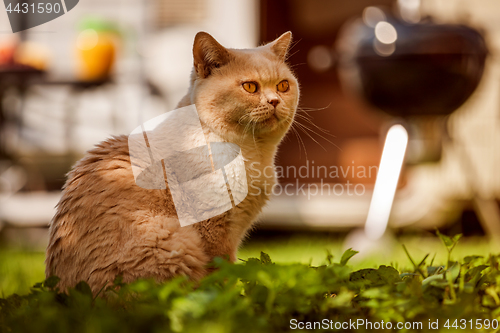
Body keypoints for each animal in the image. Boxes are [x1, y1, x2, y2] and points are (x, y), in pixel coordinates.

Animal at [45, 29, 298, 292]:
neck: (253, 153)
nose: (275, 101)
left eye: (283, 86)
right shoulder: (215, 233)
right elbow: (221, 280)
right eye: (250, 87)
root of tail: (60, 293)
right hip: (177, 242)